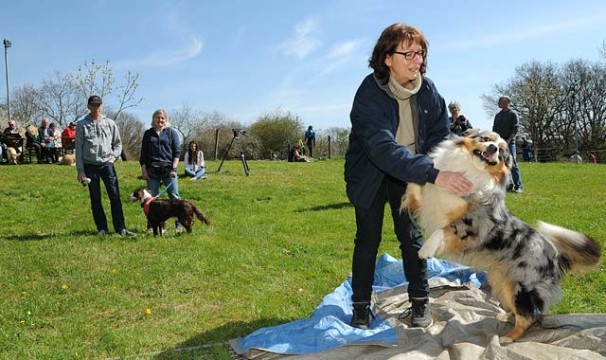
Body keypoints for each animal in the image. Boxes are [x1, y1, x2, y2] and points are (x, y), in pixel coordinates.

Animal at [402, 130, 600, 344]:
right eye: (486, 139)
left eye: (502, 151)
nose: (493, 148)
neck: (471, 170)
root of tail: (556, 257)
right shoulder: (428, 200)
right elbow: (416, 188)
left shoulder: (472, 225)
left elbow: (443, 230)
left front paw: (426, 250)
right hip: (502, 280)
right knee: (518, 310)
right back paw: (505, 316)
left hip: (522, 287)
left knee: (528, 316)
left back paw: (508, 338)